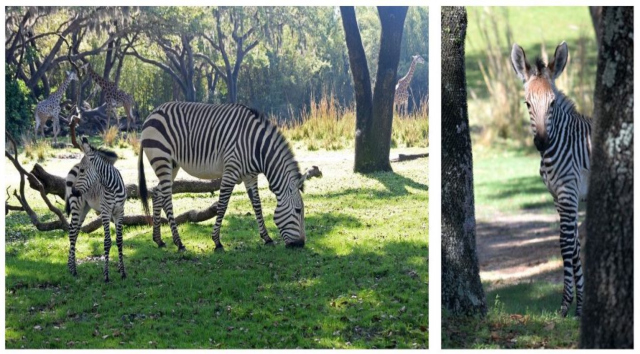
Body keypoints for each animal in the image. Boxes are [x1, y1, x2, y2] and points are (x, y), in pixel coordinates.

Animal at [66, 136, 129, 282]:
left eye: (83, 171)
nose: (74, 191)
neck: (112, 186)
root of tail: (73, 165)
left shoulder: (119, 212)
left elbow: (119, 240)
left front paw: (122, 272)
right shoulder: (105, 212)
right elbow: (107, 242)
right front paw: (106, 276)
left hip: (85, 209)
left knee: (75, 232)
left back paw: (70, 266)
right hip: (76, 206)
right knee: (71, 232)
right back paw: (73, 270)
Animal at [138, 101, 308, 252]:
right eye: (298, 210)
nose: (301, 244)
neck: (256, 147)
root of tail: (152, 114)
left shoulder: (250, 176)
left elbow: (257, 205)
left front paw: (267, 238)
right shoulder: (230, 172)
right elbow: (222, 205)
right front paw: (217, 241)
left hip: (172, 165)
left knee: (157, 193)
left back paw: (159, 240)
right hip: (162, 159)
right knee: (167, 198)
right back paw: (179, 243)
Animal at [510, 41, 596, 318]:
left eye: (552, 104)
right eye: (527, 104)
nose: (541, 142)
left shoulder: (568, 193)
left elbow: (565, 245)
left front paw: (567, 305)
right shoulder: (560, 197)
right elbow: (574, 247)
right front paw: (580, 306)